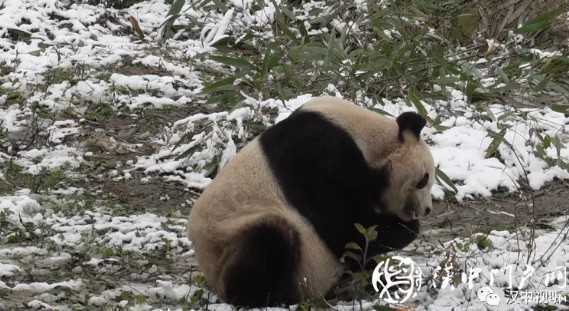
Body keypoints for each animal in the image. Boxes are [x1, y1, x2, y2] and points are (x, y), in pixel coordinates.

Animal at [187, 96, 434, 308]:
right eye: (423, 180)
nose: (427, 210)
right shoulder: (315, 158)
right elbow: (341, 224)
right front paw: (406, 229)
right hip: (229, 237)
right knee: (268, 237)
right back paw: (272, 297)